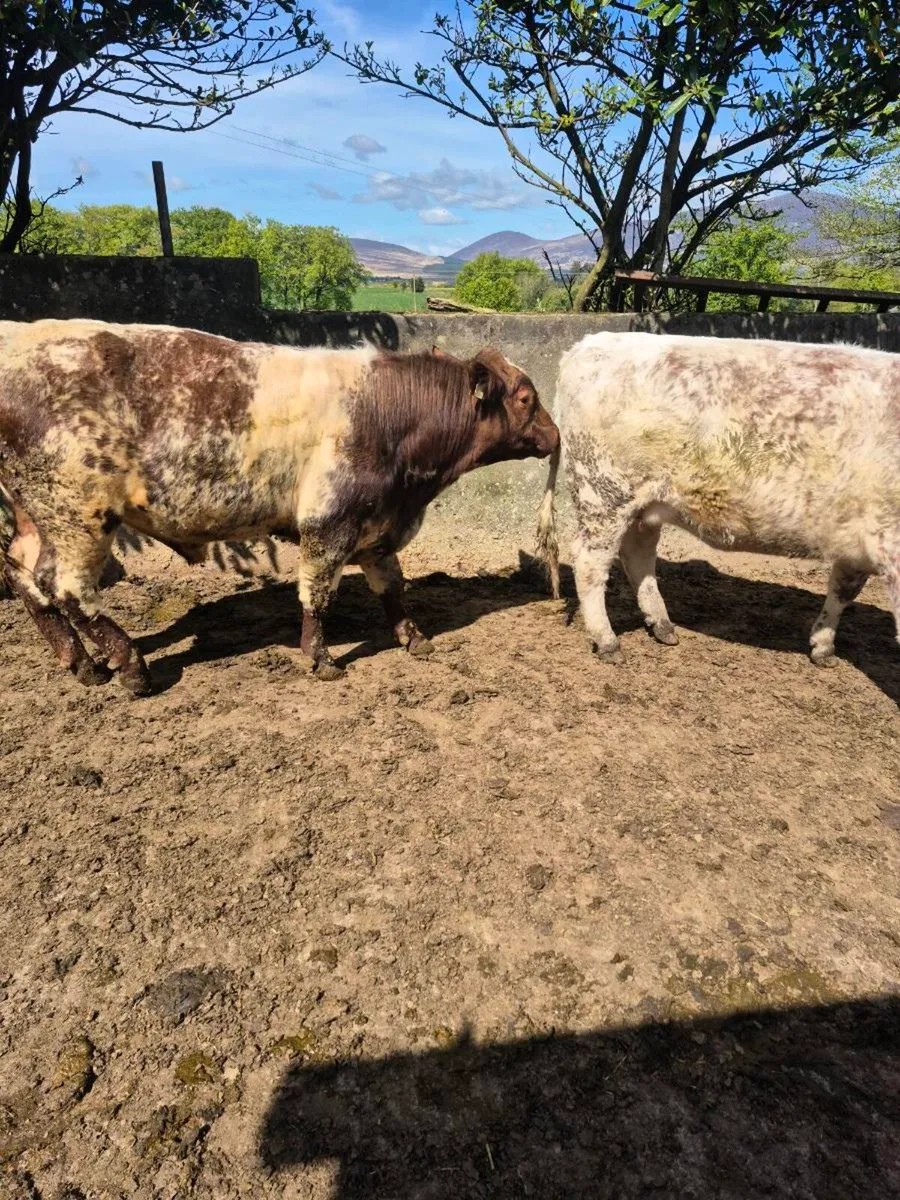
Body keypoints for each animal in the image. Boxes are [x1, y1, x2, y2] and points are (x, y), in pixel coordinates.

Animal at [0, 320, 558, 694]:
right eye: (526, 398)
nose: (556, 435)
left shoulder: (378, 526)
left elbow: (392, 586)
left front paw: (412, 637)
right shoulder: (329, 521)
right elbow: (317, 594)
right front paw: (321, 659)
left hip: (38, 517)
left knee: (26, 575)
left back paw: (83, 665)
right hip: (79, 514)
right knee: (70, 588)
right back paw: (130, 667)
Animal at [536, 331, 900, 666]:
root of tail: (587, 344)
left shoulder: (856, 539)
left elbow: (843, 589)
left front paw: (823, 646)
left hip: (643, 504)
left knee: (637, 554)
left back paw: (662, 626)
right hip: (604, 491)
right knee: (590, 563)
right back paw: (608, 642)